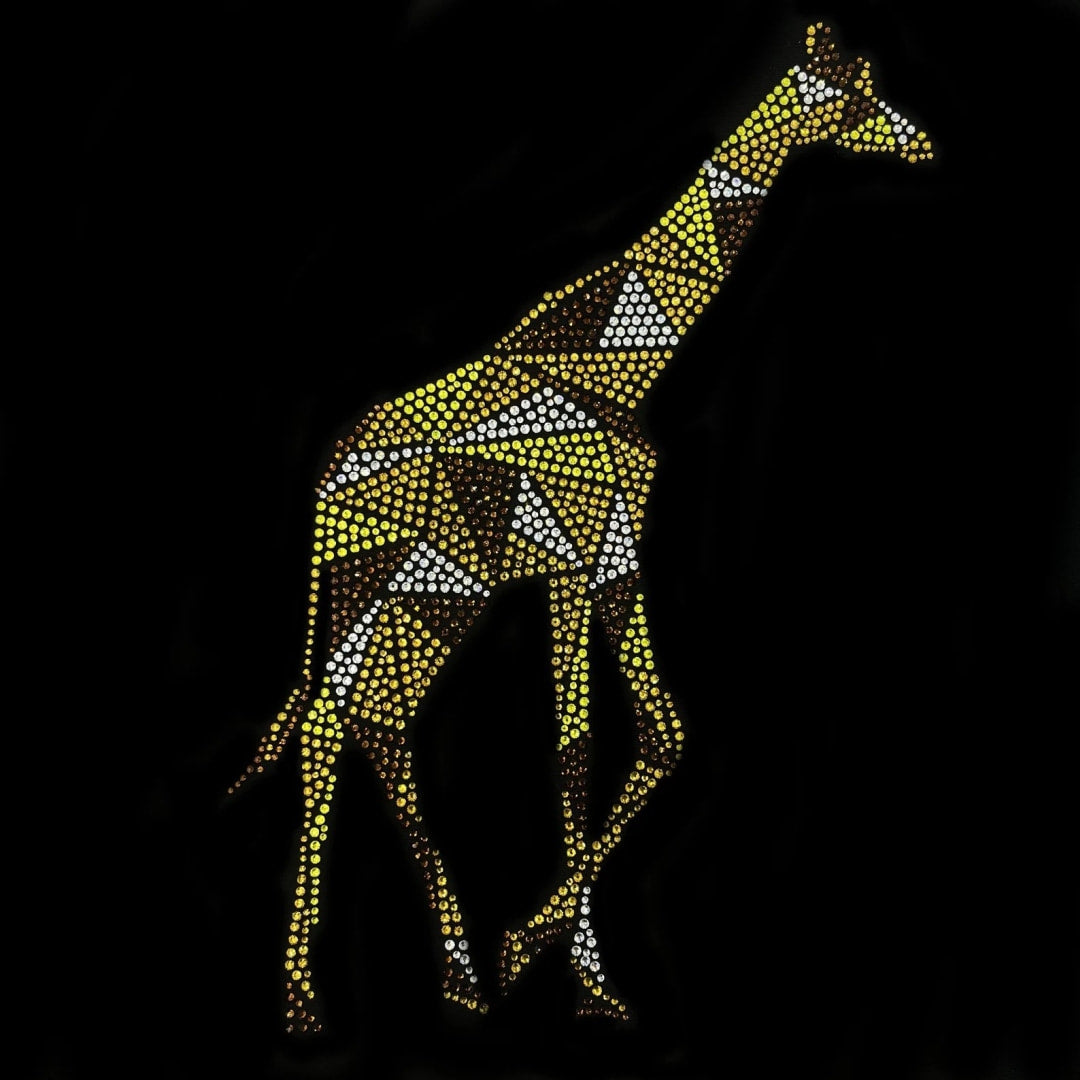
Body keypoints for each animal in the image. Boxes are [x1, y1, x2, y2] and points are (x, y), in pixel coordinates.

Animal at [229, 22, 933, 1035]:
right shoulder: (611, 551)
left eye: (874, 79)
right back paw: (323, 998)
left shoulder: (564, 570)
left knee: (368, 724)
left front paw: (581, 981)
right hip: (395, 593)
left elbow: (573, 752)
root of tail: (322, 491)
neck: (618, 355)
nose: (925, 144)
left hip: (412, 601)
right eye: (853, 95)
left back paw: (435, 981)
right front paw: (537, 953)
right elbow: (661, 738)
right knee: (337, 725)